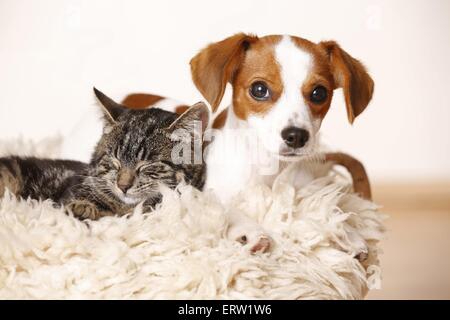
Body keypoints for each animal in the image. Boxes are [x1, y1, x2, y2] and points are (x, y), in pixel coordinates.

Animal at [122, 33, 372, 254]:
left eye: (319, 93)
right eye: (259, 89)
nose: (297, 136)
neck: (268, 168)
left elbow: (319, 204)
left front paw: (344, 231)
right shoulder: (205, 192)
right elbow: (224, 208)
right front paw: (247, 229)